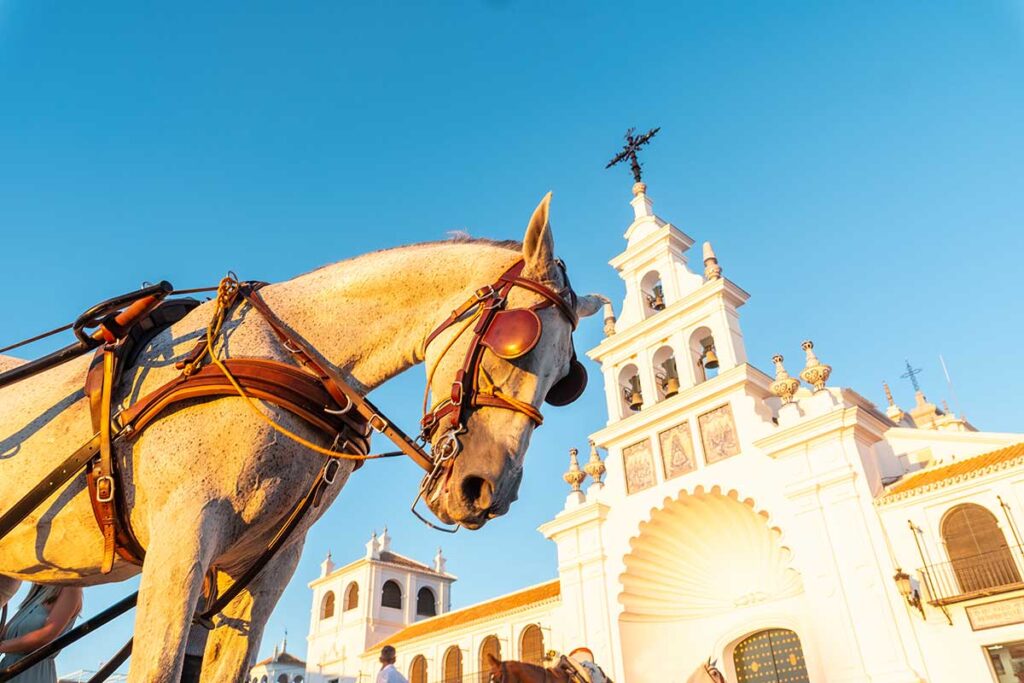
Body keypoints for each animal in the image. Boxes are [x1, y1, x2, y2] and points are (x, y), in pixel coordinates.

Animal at [0, 194, 598, 679]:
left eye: (567, 381)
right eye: (513, 339)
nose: (485, 490)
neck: (285, 356)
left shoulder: (267, 567)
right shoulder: (180, 537)